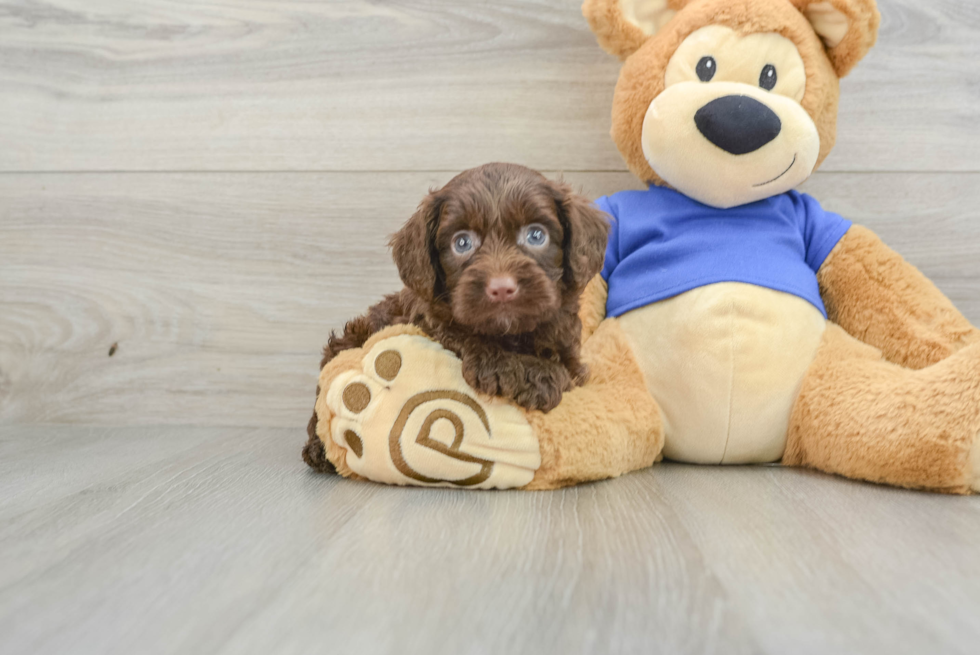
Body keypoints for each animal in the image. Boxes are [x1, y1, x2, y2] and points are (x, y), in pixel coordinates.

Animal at [304, 163, 612, 472]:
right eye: (462, 243)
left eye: (536, 236)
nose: (501, 288)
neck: (512, 334)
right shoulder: (432, 319)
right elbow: (464, 335)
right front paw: (528, 373)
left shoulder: (568, 347)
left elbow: (569, 371)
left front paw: (542, 373)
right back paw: (318, 449)